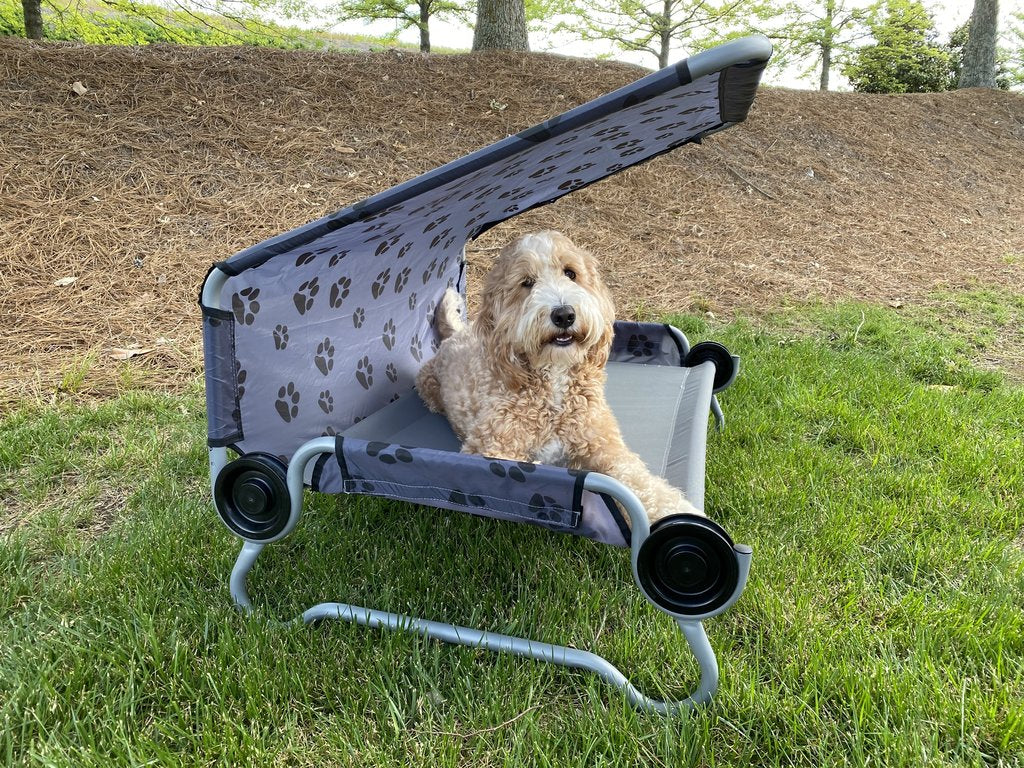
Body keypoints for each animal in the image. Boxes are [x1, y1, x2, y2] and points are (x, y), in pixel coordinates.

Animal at [411, 231, 700, 528]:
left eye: (570, 273)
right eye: (527, 282)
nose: (564, 314)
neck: (554, 380)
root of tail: (456, 334)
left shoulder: (605, 445)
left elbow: (639, 481)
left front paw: (675, 510)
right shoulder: (489, 448)